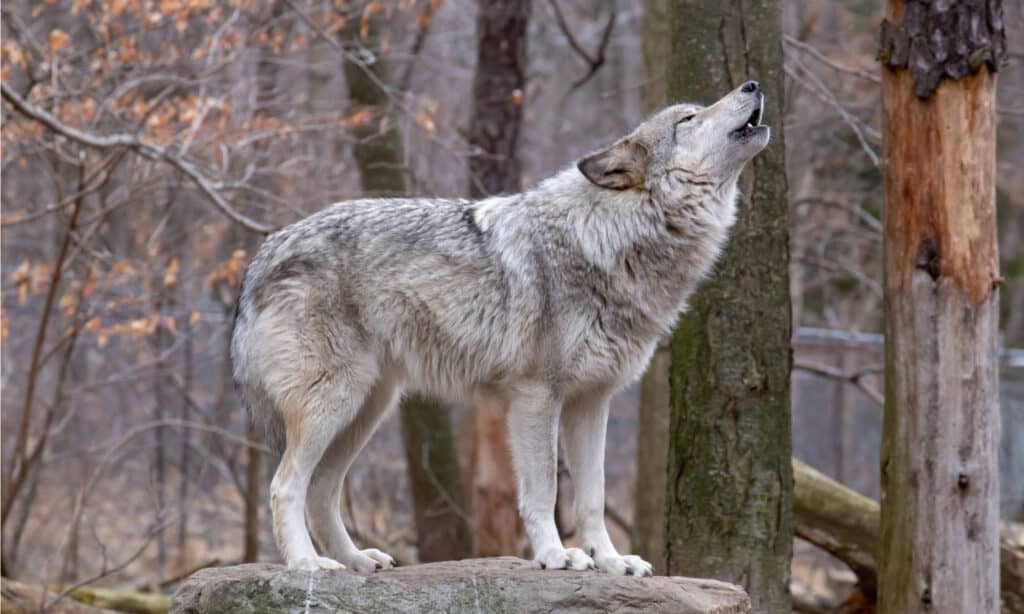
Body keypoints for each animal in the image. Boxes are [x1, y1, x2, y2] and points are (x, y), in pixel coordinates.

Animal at [230, 80, 770, 577]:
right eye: (688, 119)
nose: (753, 84)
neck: (607, 239)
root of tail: (264, 251)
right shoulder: (536, 397)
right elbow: (544, 490)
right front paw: (557, 555)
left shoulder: (592, 403)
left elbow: (592, 499)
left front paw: (613, 562)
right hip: (334, 404)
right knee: (285, 486)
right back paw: (307, 565)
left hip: (367, 409)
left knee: (322, 491)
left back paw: (357, 560)